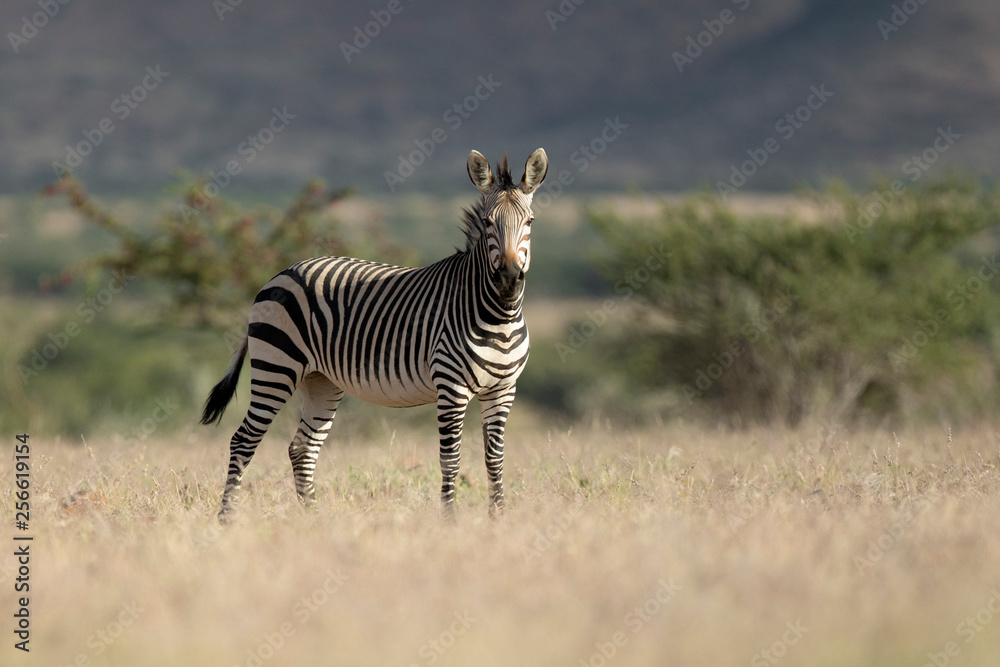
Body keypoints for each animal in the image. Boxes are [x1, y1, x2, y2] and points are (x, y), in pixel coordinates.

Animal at [201, 148, 548, 520]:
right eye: (486, 223)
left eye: (529, 222)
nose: (509, 279)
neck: (498, 317)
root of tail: (280, 273)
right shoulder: (451, 388)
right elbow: (451, 459)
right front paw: (449, 520)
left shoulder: (503, 390)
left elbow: (494, 459)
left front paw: (498, 519)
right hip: (276, 368)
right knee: (243, 441)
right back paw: (227, 519)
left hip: (321, 380)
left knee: (302, 448)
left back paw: (314, 519)